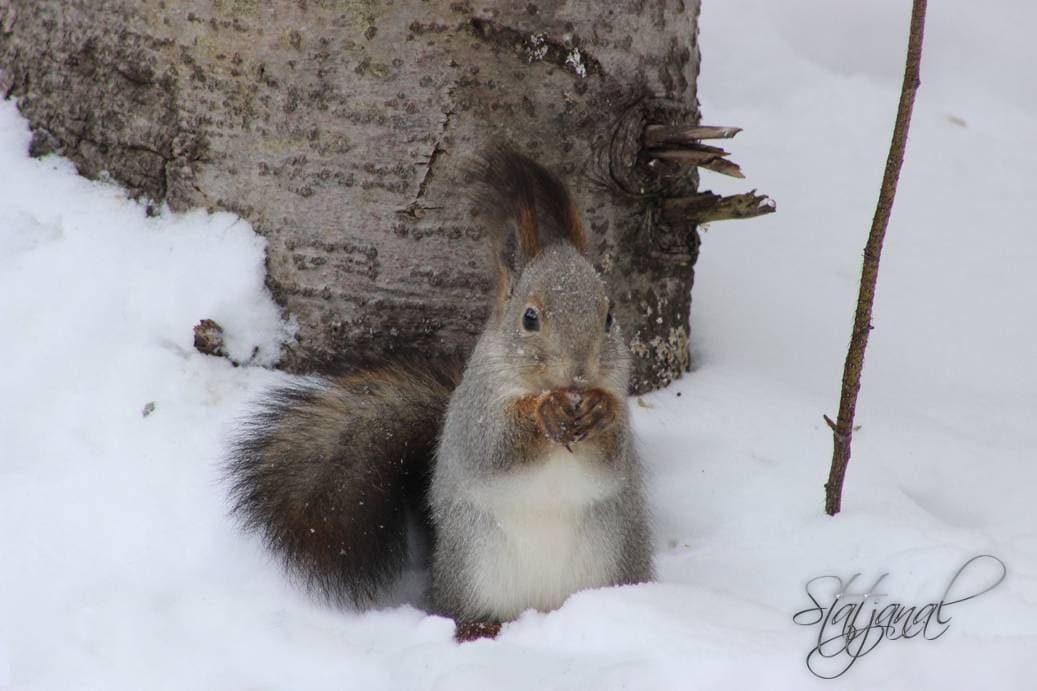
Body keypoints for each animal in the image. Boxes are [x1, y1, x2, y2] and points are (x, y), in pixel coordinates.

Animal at [228, 148, 651, 639]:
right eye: (529, 318)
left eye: (610, 317)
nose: (580, 374)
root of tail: (539, 609)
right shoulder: (473, 415)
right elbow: (495, 447)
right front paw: (541, 412)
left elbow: (614, 456)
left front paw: (600, 411)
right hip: (474, 565)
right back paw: (476, 628)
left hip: (612, 557)